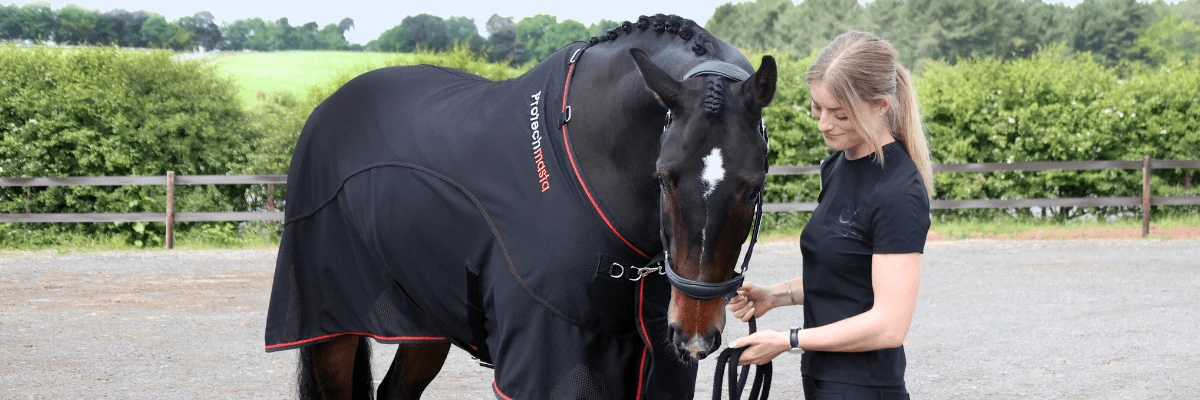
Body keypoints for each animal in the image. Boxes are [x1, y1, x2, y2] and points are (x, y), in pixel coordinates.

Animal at [264, 14, 776, 399]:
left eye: (753, 188)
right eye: (664, 176)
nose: (694, 336)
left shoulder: (648, 363)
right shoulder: (553, 357)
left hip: (425, 323)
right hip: (332, 326)